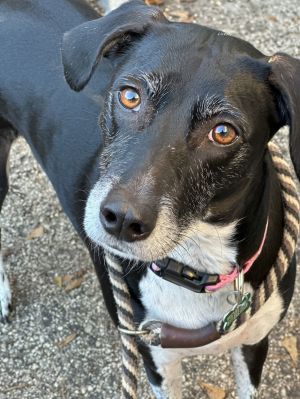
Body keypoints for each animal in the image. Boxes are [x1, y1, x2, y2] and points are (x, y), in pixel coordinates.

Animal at [0, 0, 300, 398]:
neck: (198, 261)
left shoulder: (253, 342)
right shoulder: (155, 359)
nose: (123, 220)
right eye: (130, 96)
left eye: (223, 132)